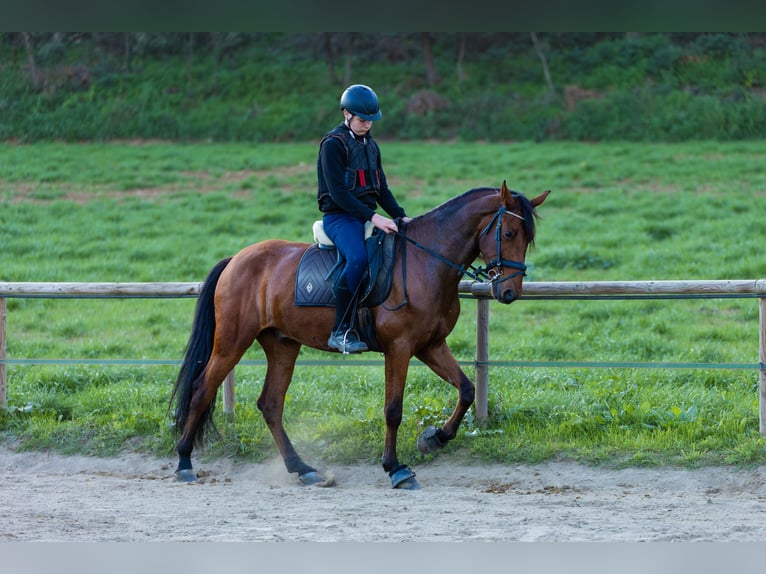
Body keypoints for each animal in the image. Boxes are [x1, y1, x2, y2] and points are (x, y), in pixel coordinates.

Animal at [171, 181, 548, 490]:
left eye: (528, 238)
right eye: (509, 233)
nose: (510, 293)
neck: (426, 260)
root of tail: (237, 258)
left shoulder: (430, 345)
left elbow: (467, 389)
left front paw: (434, 438)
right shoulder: (399, 348)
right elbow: (393, 409)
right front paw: (396, 469)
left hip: (282, 345)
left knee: (271, 404)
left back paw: (303, 469)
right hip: (232, 343)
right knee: (202, 389)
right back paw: (184, 462)